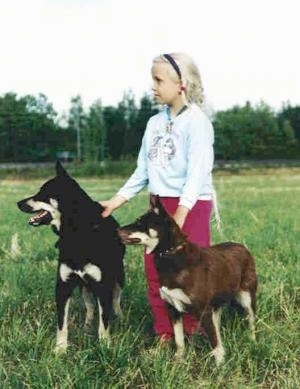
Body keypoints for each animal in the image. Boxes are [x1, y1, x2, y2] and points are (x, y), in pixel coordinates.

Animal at [17, 161, 125, 352]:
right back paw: (87, 326)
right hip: (83, 285)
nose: (18, 203)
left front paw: (105, 346)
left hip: (118, 277)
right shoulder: (64, 284)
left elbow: (104, 322)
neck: (76, 230)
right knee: (90, 306)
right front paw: (60, 349)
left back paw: (119, 317)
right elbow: (62, 323)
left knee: (116, 300)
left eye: (43, 194)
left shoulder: (103, 284)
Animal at [117, 197, 258, 364]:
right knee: (218, 326)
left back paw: (252, 341)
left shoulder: (203, 311)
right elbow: (179, 340)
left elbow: (214, 342)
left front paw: (220, 365)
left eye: (139, 222)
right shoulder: (173, 308)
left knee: (251, 322)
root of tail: (244, 248)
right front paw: (178, 360)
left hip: (246, 298)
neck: (170, 253)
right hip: (217, 303)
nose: (117, 230)